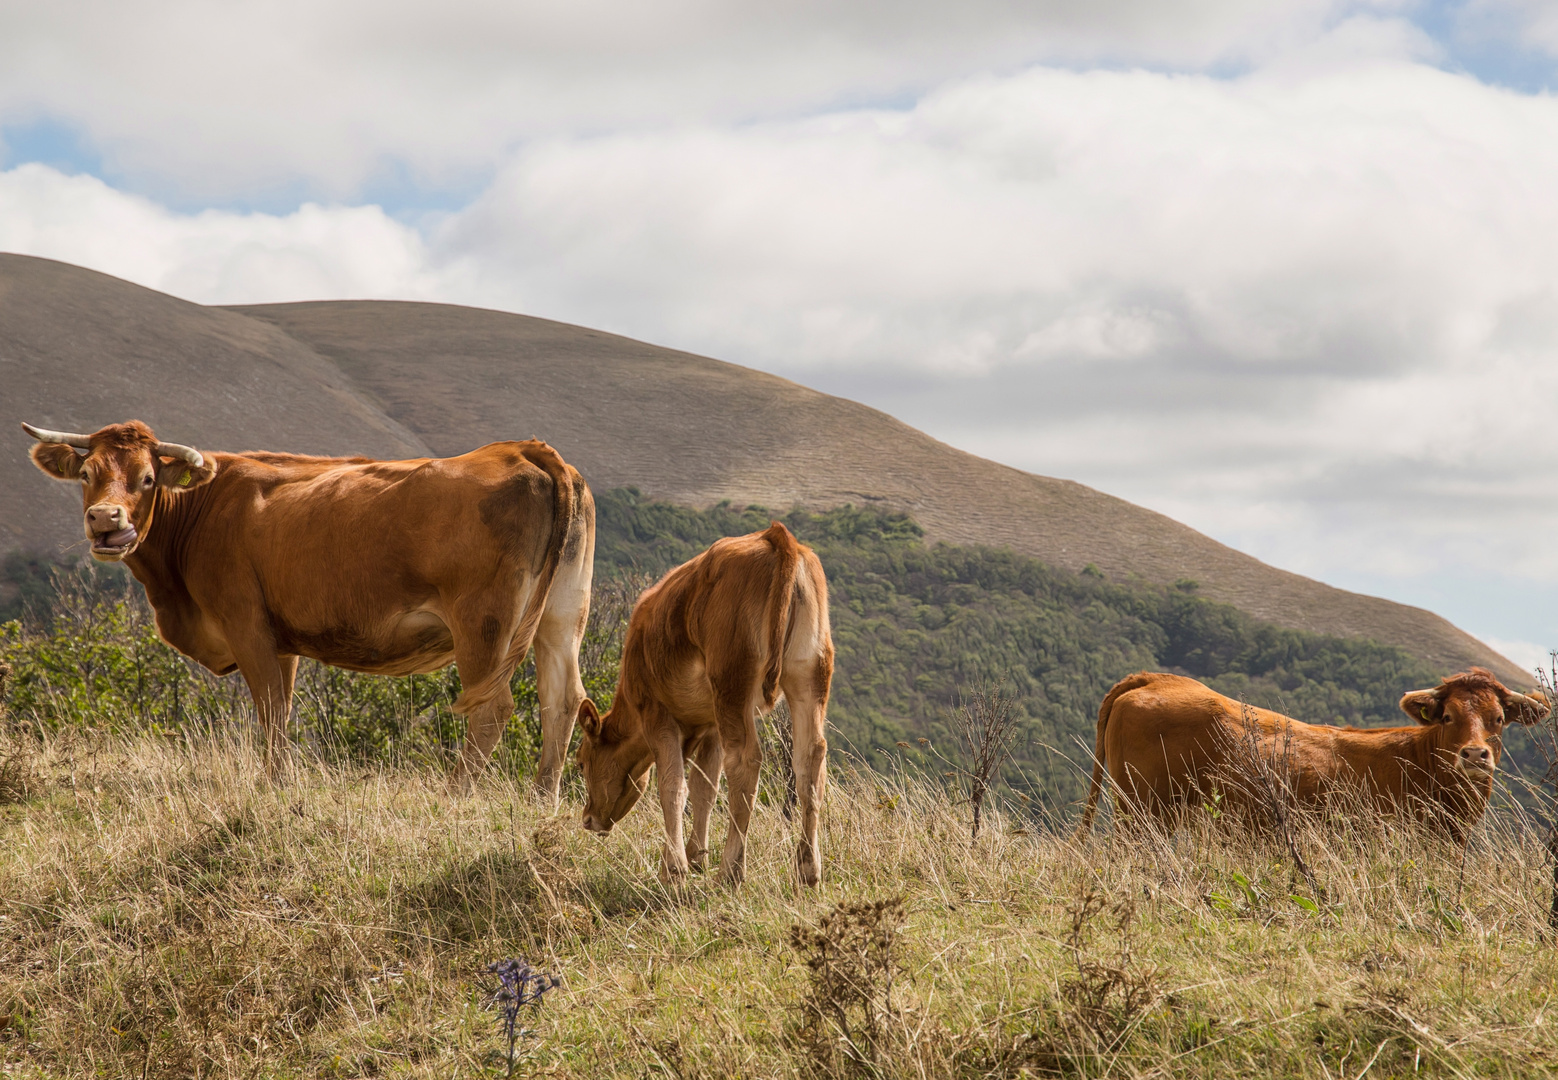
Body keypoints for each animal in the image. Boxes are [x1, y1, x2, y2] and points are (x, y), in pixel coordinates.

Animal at [24, 417, 595, 791]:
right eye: (86, 475)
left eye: (147, 478)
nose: (105, 519)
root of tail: (523, 449)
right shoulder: (282, 641)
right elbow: (282, 708)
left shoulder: (246, 624)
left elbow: (271, 709)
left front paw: (276, 788)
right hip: (561, 617)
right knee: (563, 700)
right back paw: (542, 800)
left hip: (483, 624)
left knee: (493, 708)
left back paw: (455, 793)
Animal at [576, 520, 841, 885]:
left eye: (581, 762)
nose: (587, 818)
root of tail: (776, 536)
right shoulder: (711, 722)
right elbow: (705, 788)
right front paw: (694, 857)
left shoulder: (656, 713)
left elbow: (672, 786)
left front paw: (673, 869)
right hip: (809, 673)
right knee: (809, 760)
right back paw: (807, 870)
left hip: (732, 681)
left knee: (745, 762)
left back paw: (730, 871)